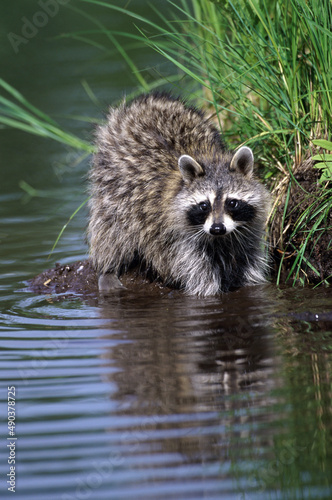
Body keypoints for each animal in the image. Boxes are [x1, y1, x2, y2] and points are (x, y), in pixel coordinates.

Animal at [87, 92, 270, 294]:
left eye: (232, 203)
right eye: (204, 205)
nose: (217, 228)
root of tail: (141, 103)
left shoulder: (247, 233)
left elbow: (248, 262)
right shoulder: (176, 240)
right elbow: (198, 276)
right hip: (111, 187)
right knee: (110, 230)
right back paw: (108, 268)